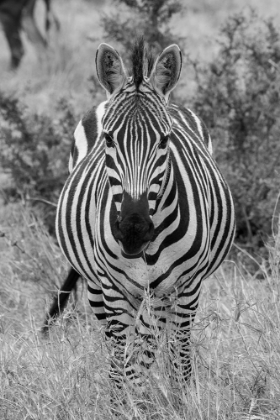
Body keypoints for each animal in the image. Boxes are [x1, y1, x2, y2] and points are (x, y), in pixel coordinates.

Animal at [48, 39, 236, 390]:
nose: (133, 229)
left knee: (170, 345)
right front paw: (127, 399)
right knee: (117, 343)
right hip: (97, 287)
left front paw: (175, 397)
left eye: (165, 140)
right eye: (108, 138)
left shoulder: (182, 286)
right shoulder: (113, 288)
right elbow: (122, 360)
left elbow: (167, 354)